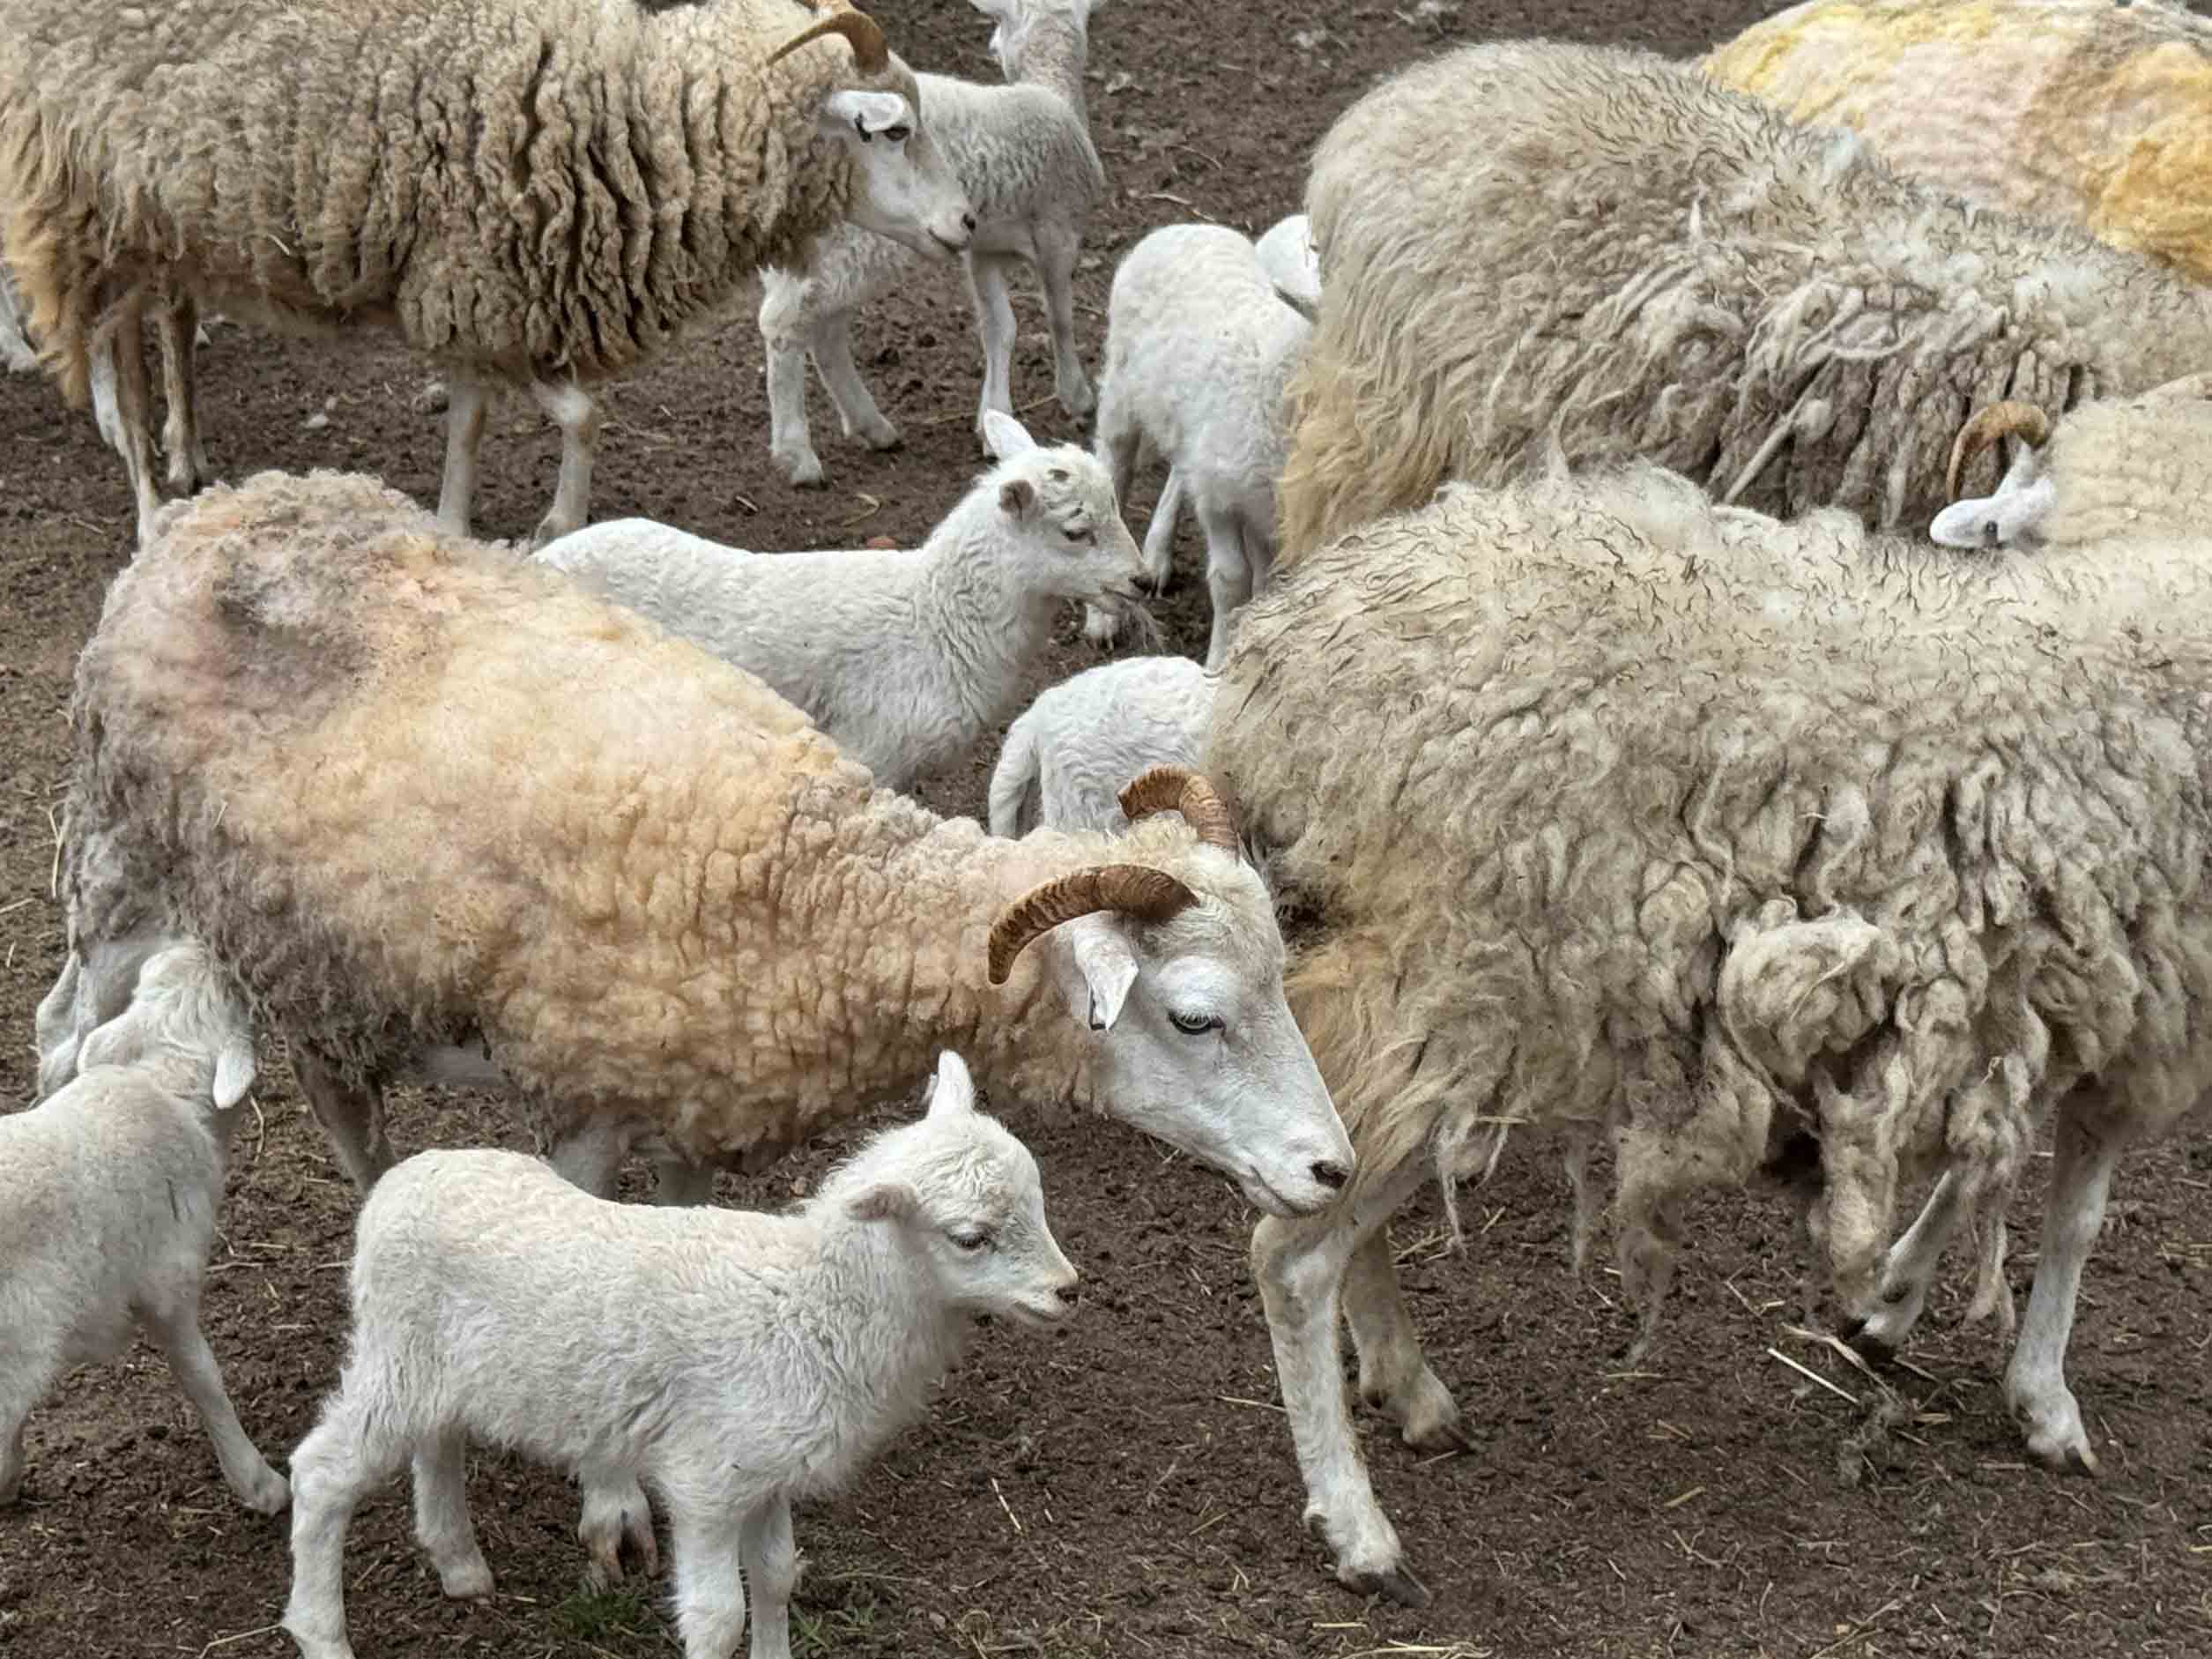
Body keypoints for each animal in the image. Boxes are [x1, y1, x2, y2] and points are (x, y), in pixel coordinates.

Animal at [0, 0, 976, 547]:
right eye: (892, 130)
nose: (966, 223)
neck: (616, 115)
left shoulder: (478, 291)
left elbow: (498, 421)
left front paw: (459, 521)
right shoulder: (474, 282)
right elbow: (572, 415)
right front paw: (554, 524)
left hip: (151, 226)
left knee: (154, 330)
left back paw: (186, 454)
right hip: (89, 208)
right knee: (120, 362)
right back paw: (146, 504)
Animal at [280, 1049, 1078, 1659]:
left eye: (1039, 1200)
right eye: (970, 1238)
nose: (1068, 1291)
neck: (815, 1304)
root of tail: (396, 1185)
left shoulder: (767, 1470)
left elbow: (778, 1576)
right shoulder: (708, 1479)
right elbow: (718, 1618)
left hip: (440, 1367)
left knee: (436, 1441)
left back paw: (460, 1564)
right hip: (397, 1352)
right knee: (320, 1473)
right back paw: (323, 1633)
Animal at [758, 0, 1110, 486]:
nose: (992, 46)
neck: (1053, 92)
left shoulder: (981, 248)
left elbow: (1000, 327)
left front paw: (992, 419)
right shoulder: (1059, 231)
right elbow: (1060, 317)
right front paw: (1076, 396)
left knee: (825, 332)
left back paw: (872, 426)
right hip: (856, 244)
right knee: (784, 324)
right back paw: (798, 456)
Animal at [1089, 223, 1312, 667]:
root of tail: (1184, 227)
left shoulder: (1266, 508)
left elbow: (1266, 586)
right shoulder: (1220, 502)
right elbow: (1230, 580)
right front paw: (1219, 658)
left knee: (1179, 469)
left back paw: (1157, 555)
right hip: (1122, 391)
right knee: (1114, 465)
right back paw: (1102, 617)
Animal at [1203, 457, 2212, 1605]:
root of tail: (1286, 665)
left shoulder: (2033, 1001)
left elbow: (1985, 1175)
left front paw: (1892, 1304)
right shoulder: (2136, 1009)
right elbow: (2072, 1222)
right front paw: (2042, 1397)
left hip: (1411, 981)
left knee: (1328, 1165)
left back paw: (1409, 1388)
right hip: (1472, 986)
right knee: (1292, 1254)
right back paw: (1356, 1526)